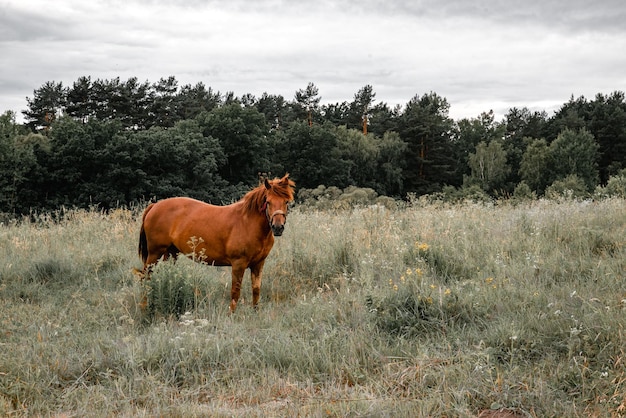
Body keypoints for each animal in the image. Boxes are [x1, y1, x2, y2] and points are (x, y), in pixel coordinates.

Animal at [138, 171, 294, 312]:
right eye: (268, 202)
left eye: (286, 202)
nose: (278, 227)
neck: (247, 222)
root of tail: (154, 206)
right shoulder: (238, 264)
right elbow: (235, 292)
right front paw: (232, 315)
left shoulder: (258, 264)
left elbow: (256, 290)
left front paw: (256, 313)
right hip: (154, 254)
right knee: (145, 278)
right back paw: (144, 307)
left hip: (170, 254)